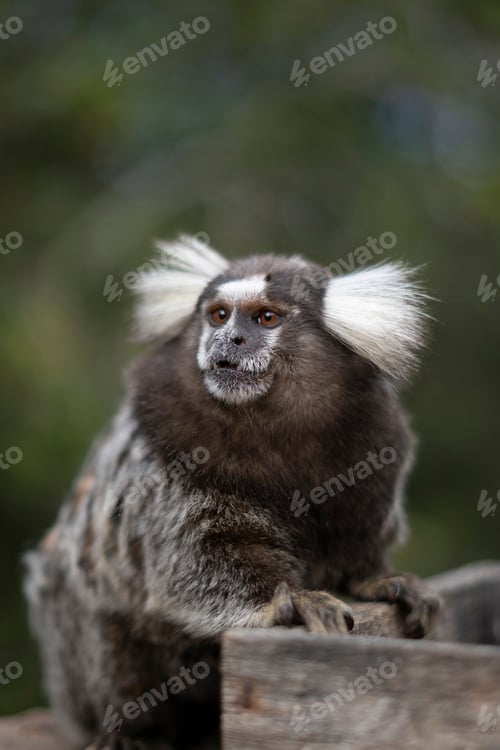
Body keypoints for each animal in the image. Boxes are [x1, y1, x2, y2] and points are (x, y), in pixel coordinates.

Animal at [24, 235, 441, 750]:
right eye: (220, 315)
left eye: (266, 318)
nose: (229, 340)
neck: (273, 428)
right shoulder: (167, 463)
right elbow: (196, 560)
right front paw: (288, 600)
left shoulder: (377, 451)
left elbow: (357, 546)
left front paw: (376, 580)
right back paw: (128, 729)